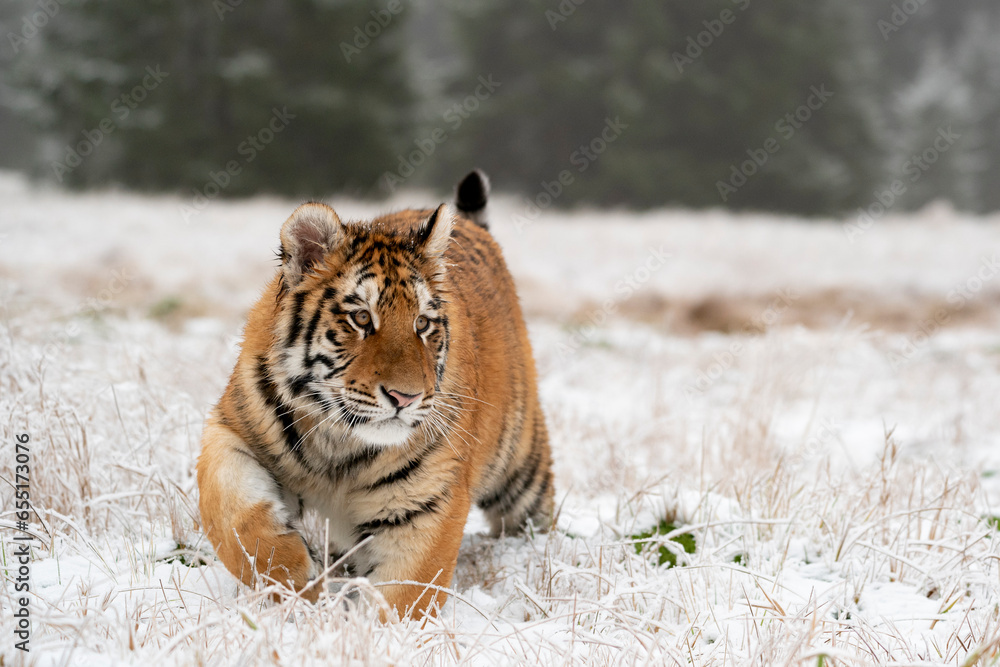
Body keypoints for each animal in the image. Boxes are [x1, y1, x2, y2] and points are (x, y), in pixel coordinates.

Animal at [196, 170, 554, 620]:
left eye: (422, 323)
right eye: (362, 318)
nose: (406, 397)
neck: (338, 445)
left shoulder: (426, 504)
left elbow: (402, 598)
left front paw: (362, 628)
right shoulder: (231, 431)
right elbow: (236, 519)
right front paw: (298, 581)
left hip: (522, 470)